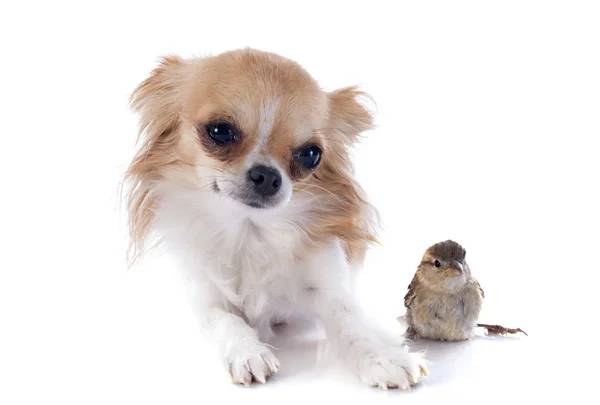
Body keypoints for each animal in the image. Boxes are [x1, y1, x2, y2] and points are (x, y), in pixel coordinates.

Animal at [124, 47, 426, 388]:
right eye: (219, 131)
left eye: (311, 155)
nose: (268, 176)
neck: (249, 230)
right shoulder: (206, 299)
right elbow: (226, 321)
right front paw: (247, 352)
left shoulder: (328, 285)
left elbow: (351, 322)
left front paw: (383, 356)